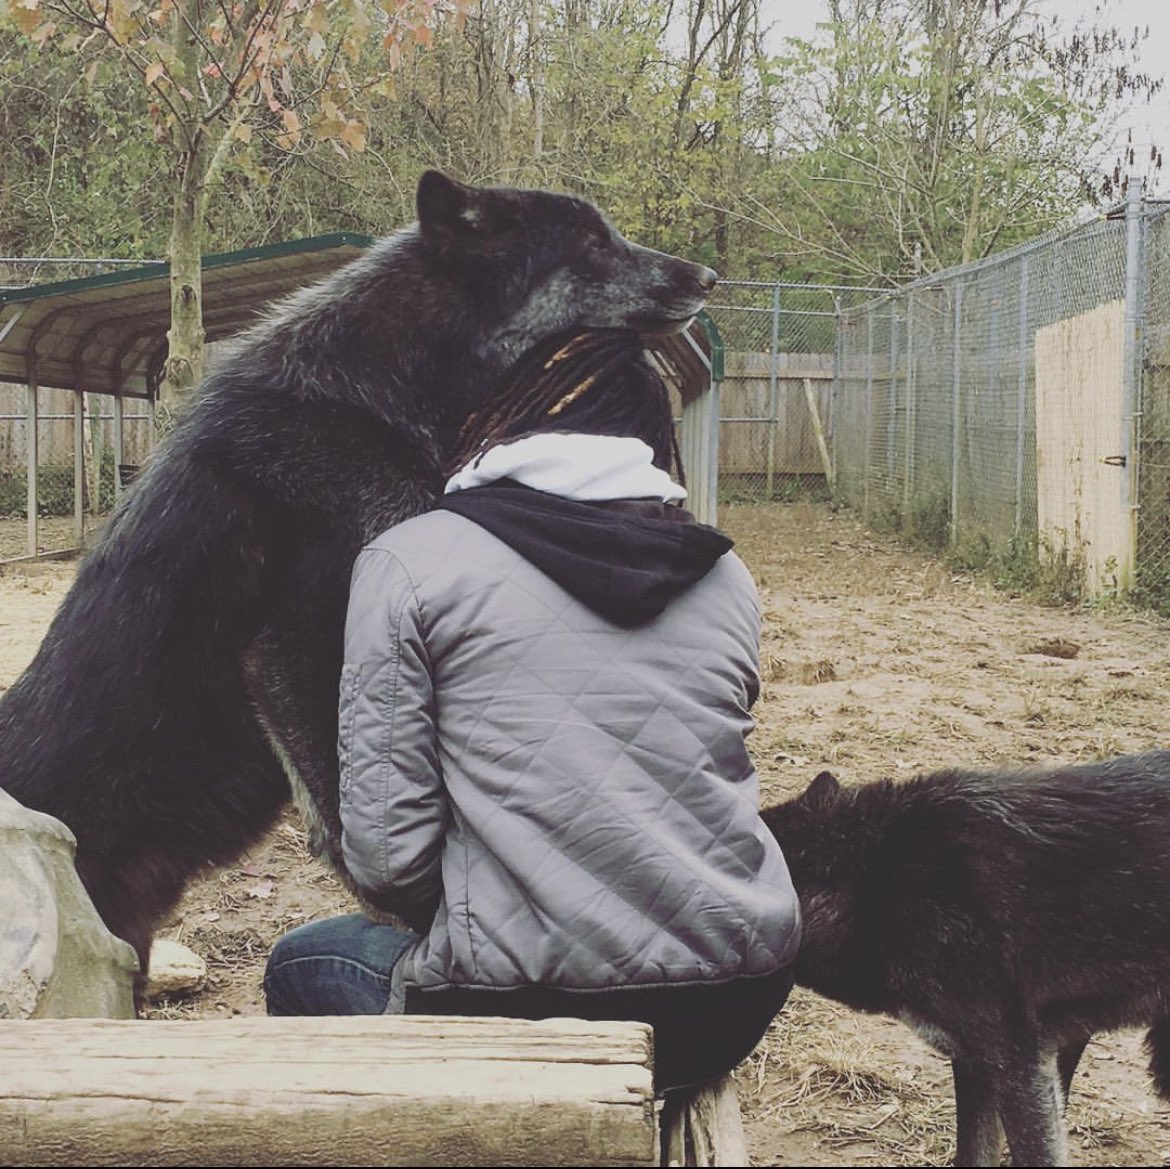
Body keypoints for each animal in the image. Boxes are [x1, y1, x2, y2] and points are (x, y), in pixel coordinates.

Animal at [0, 170, 716, 970]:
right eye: (593, 244)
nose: (708, 276)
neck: (374, 402)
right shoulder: (290, 648)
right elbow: (346, 806)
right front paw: (410, 914)